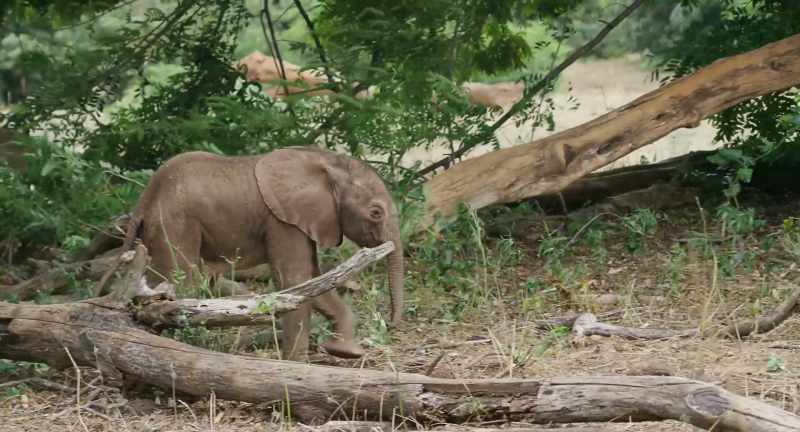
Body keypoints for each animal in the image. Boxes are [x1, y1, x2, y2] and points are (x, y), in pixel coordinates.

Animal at [113, 147, 404, 360]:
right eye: (375, 213)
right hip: (174, 223)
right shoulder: (282, 220)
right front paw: (296, 364)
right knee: (180, 279)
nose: (391, 325)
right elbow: (296, 280)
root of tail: (145, 198)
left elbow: (313, 279)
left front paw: (346, 352)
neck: (325, 161)